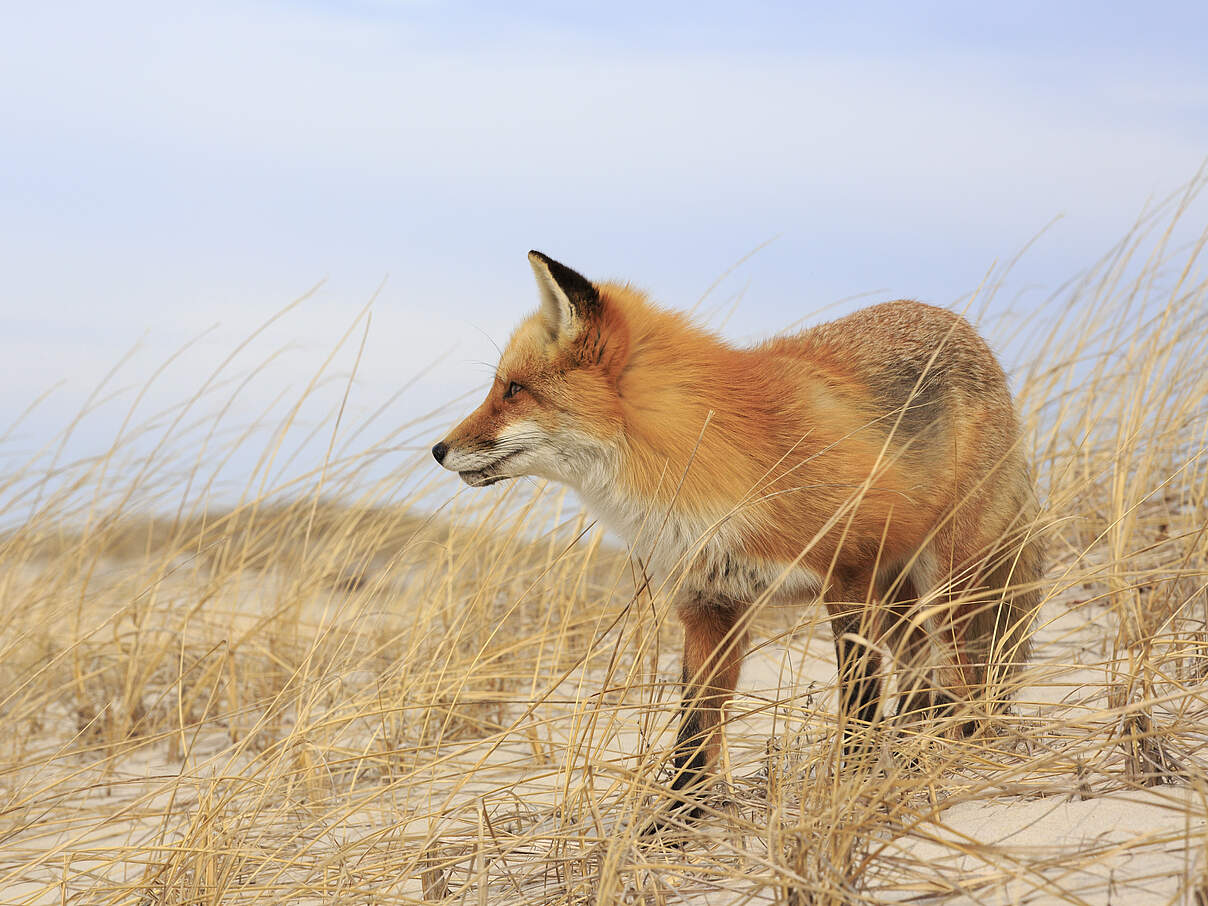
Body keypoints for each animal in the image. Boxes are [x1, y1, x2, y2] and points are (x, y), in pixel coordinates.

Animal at [433, 251, 1043, 817]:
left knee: (962, 674)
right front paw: (672, 825)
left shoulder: (848, 577)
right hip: (902, 599)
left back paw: (948, 746)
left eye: (513, 389)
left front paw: (853, 783)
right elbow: (693, 733)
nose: (438, 450)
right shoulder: (709, 604)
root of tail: (963, 328)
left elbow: (858, 701)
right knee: (923, 678)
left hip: (946, 581)